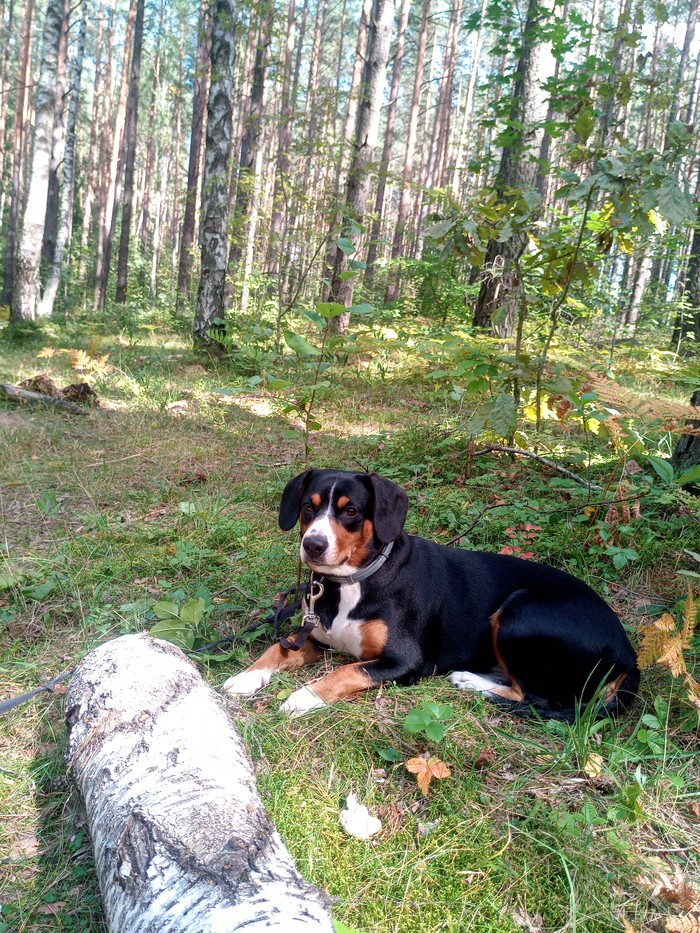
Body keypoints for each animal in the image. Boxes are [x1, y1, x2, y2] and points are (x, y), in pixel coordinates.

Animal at [226, 470, 640, 716]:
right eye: (307, 507)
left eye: (351, 511)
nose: (313, 545)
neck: (353, 582)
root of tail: (629, 653)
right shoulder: (314, 637)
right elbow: (277, 649)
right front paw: (247, 676)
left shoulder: (404, 661)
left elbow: (346, 671)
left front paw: (305, 696)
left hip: (519, 612)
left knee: (533, 696)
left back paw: (471, 681)